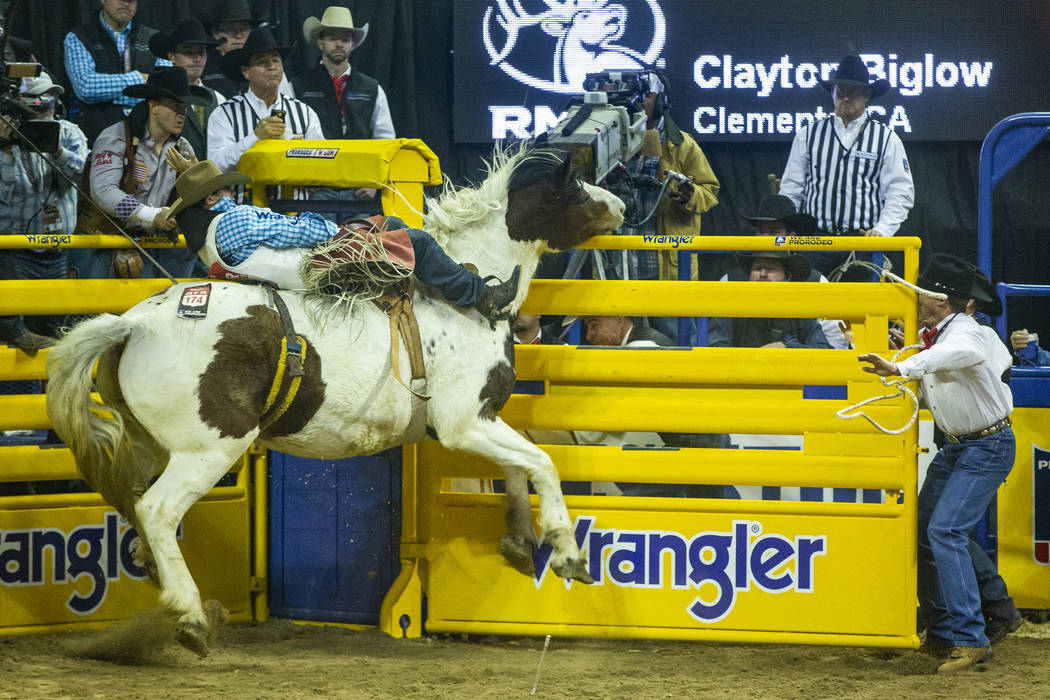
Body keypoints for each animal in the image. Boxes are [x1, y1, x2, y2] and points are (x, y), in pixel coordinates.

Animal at [45, 144, 621, 659]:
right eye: (575, 189)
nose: (617, 205)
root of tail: (134, 324)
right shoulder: (463, 422)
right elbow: (541, 462)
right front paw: (566, 554)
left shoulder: (480, 420)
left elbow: (519, 466)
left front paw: (520, 542)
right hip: (208, 449)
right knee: (158, 510)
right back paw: (190, 619)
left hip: (151, 443)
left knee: (136, 504)